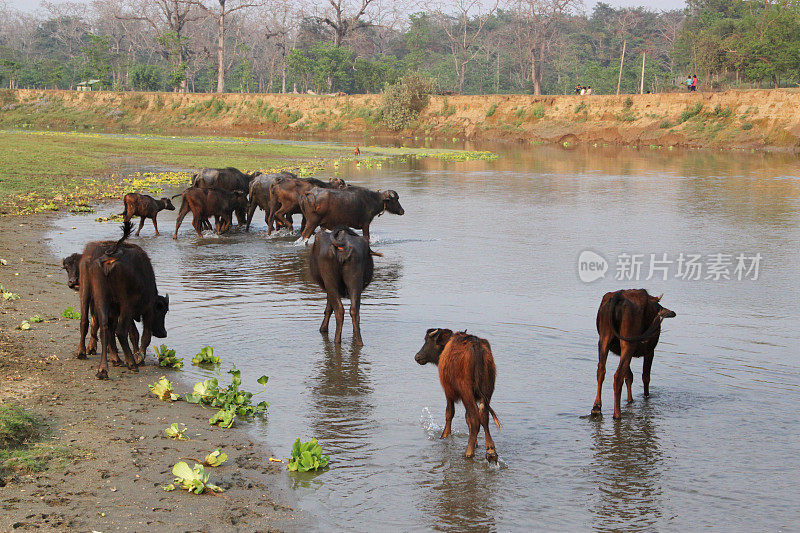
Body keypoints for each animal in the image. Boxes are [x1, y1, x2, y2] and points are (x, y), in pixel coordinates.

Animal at [78, 221, 169, 378]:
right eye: (162, 311)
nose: (163, 333)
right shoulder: (146, 310)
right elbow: (143, 335)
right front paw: (139, 357)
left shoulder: (117, 310)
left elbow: (131, 333)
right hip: (125, 303)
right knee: (119, 331)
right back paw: (131, 364)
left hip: (91, 294)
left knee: (94, 324)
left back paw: (98, 364)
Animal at [412, 328, 500, 462]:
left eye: (428, 340)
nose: (417, 356)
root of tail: (476, 345)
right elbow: (467, 418)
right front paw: (475, 443)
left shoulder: (448, 391)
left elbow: (449, 413)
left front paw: (444, 435)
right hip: (487, 390)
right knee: (483, 416)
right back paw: (490, 450)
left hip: (466, 391)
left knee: (475, 418)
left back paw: (469, 452)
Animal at [592, 288, 676, 418]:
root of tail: (618, 296)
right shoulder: (649, 351)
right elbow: (645, 376)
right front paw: (645, 396)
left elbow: (629, 376)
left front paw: (630, 400)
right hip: (628, 342)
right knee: (618, 375)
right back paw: (617, 413)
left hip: (604, 339)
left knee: (601, 370)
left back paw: (596, 407)